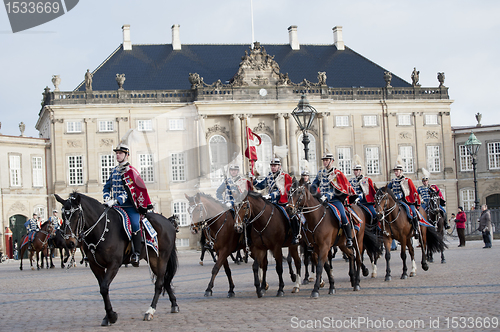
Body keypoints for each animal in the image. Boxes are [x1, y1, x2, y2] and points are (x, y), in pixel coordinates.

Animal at [55, 193, 180, 326]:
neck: (101, 229)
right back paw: (174, 304)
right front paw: (107, 316)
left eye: (77, 214)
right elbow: (103, 289)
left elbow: (104, 288)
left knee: (159, 283)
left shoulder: (114, 264)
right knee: (165, 280)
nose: (69, 242)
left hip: (161, 258)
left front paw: (111, 315)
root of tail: (167, 223)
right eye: (63, 215)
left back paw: (150, 311)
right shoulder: (96, 266)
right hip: (153, 259)